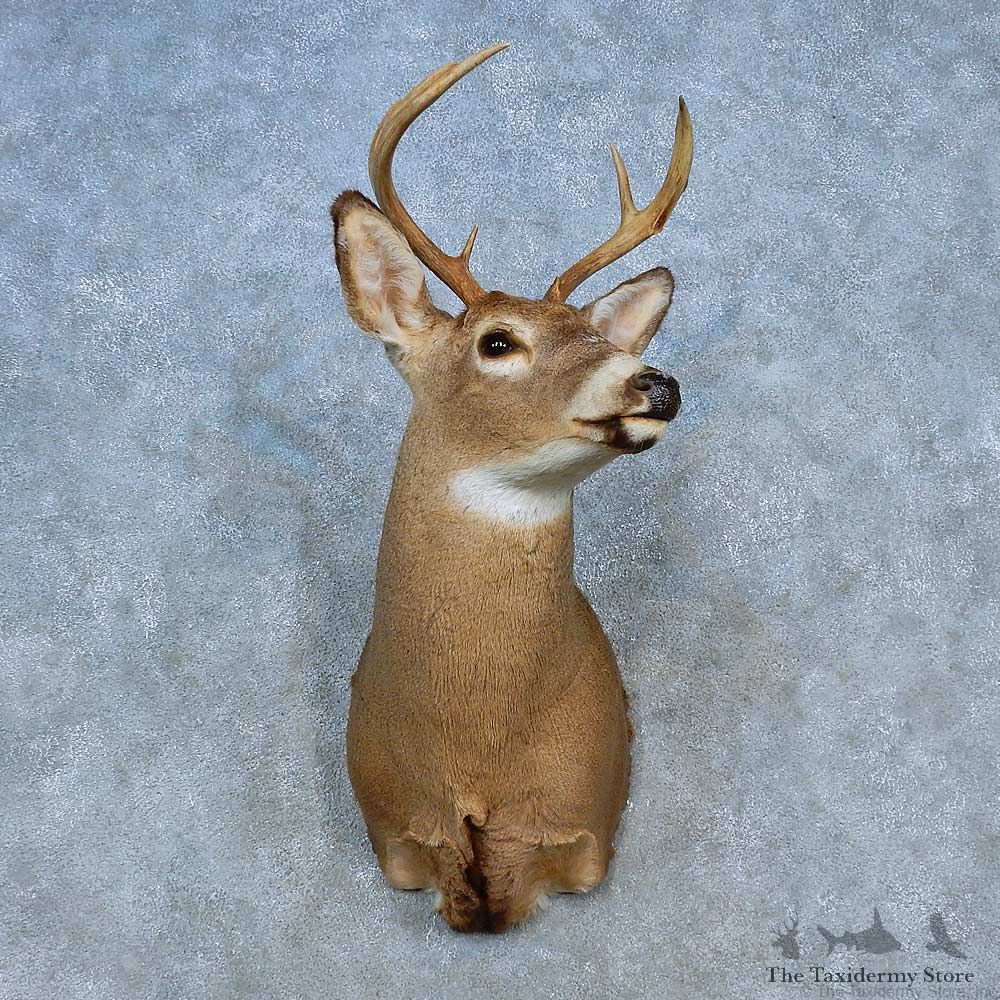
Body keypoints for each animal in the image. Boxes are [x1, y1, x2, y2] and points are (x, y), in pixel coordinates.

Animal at [330, 42, 692, 933]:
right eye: (497, 342)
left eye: (599, 333)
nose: (657, 384)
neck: (477, 743)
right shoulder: (393, 833)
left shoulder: (586, 823)